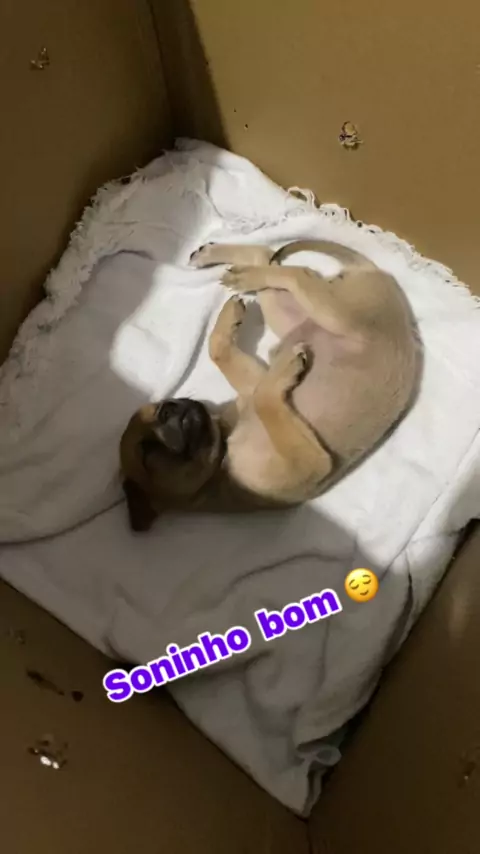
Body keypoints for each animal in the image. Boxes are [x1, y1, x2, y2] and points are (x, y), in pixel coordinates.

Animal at [120, 240, 420, 531]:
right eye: (146, 452)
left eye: (159, 405)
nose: (168, 408)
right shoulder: (309, 462)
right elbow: (263, 397)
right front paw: (286, 365)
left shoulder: (252, 384)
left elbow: (218, 352)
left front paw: (227, 321)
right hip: (320, 316)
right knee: (293, 271)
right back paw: (240, 274)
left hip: (319, 312)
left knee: (274, 260)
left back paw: (224, 265)